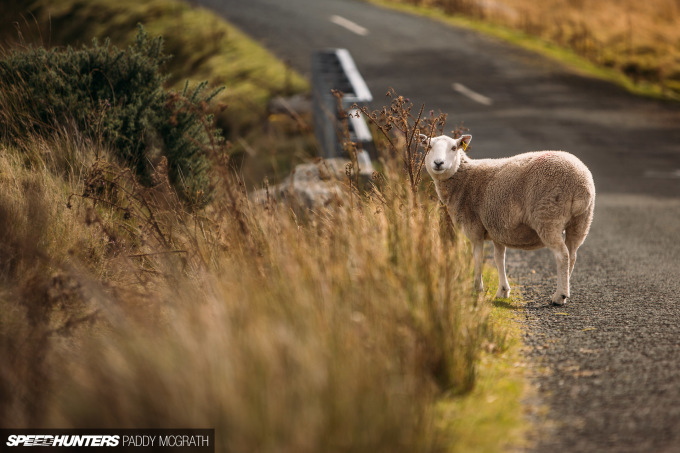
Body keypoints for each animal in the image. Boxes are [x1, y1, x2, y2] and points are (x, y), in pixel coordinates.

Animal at [420, 133, 596, 304]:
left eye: (453, 147)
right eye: (429, 146)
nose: (438, 163)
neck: (463, 180)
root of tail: (580, 184)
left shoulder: (474, 227)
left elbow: (477, 257)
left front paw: (477, 289)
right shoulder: (496, 228)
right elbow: (499, 258)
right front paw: (503, 291)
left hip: (548, 216)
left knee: (562, 255)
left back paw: (559, 296)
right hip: (582, 221)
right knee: (572, 254)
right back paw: (565, 290)